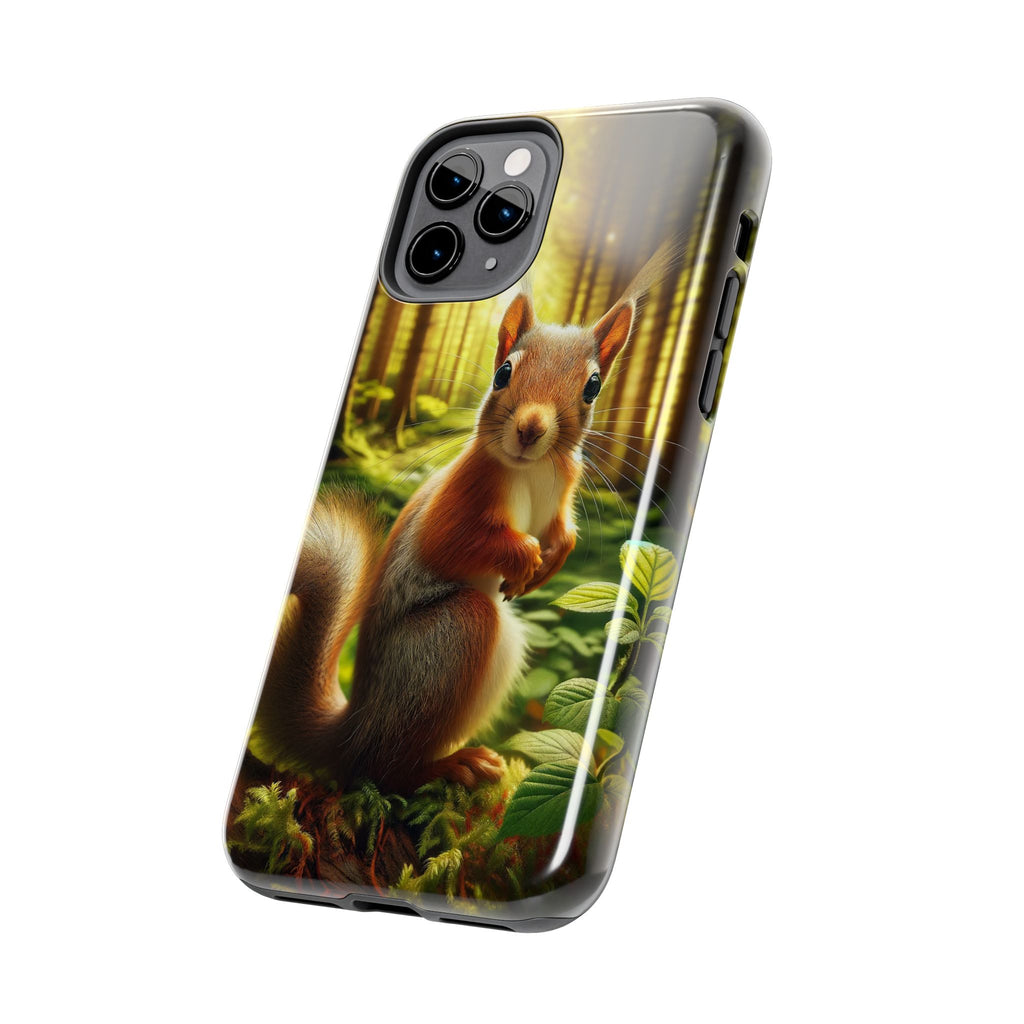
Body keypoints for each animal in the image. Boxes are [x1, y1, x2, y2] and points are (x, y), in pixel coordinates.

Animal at [253, 248, 673, 794]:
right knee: (382, 770)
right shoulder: (464, 491)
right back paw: (449, 766)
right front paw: (525, 557)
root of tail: (355, 727)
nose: (530, 429)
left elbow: (563, 532)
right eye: (503, 372)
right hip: (453, 635)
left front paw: (548, 562)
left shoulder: (562, 492)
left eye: (593, 387)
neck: (534, 468)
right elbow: (447, 542)